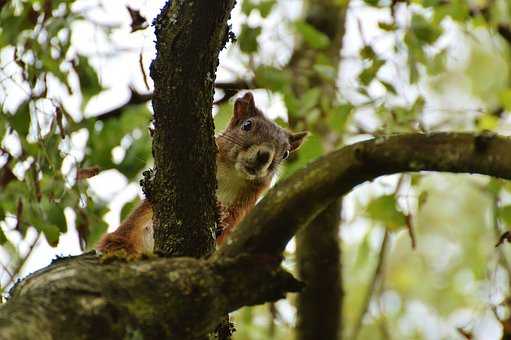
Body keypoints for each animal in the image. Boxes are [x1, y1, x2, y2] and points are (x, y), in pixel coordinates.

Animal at [98, 93, 310, 255]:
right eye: (247, 125)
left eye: (286, 153)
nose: (264, 155)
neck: (232, 174)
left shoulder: (243, 206)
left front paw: (221, 216)